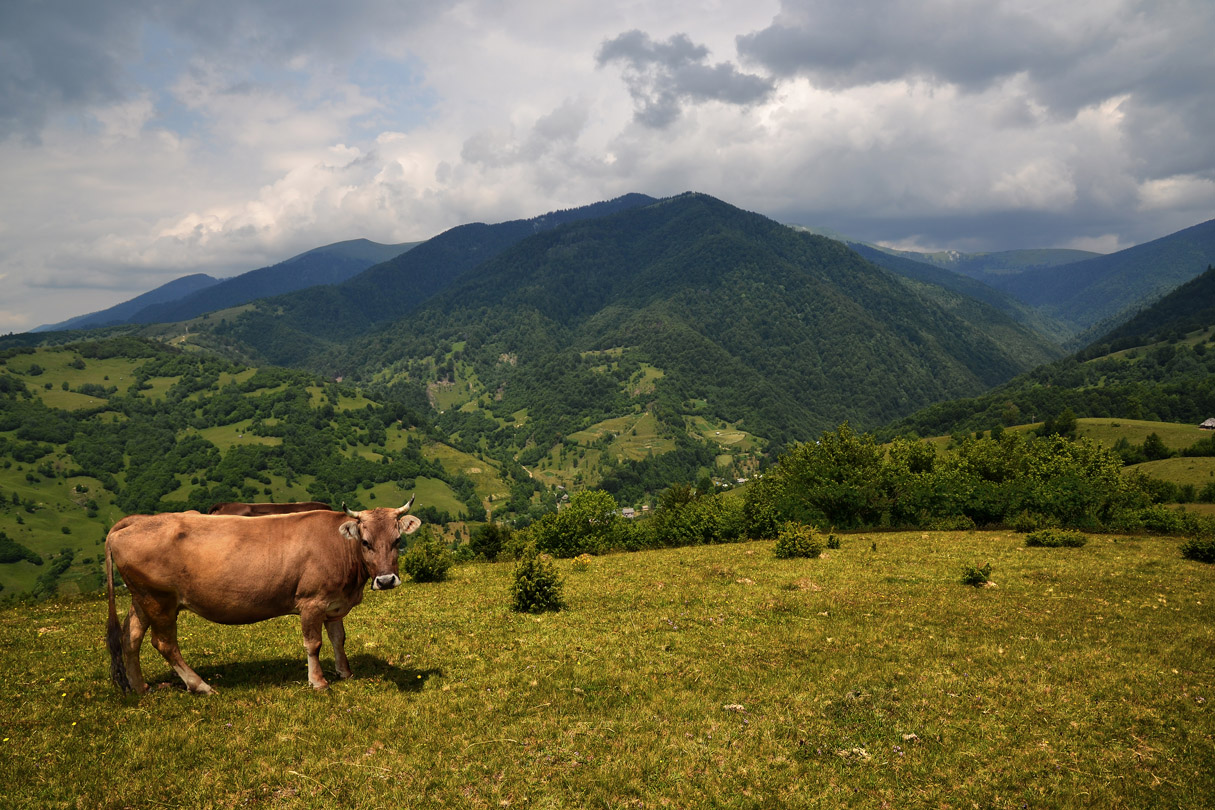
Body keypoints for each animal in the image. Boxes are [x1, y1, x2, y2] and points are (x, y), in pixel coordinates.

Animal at [105, 497, 427, 694]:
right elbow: (313, 644)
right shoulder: (312, 602)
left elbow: (338, 639)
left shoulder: (334, 603)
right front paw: (318, 681)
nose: (386, 580)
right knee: (164, 644)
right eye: (365, 541)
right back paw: (200, 685)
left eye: (397, 540)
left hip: (142, 598)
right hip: (160, 601)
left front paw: (344, 672)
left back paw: (141, 688)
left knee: (130, 637)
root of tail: (136, 521)